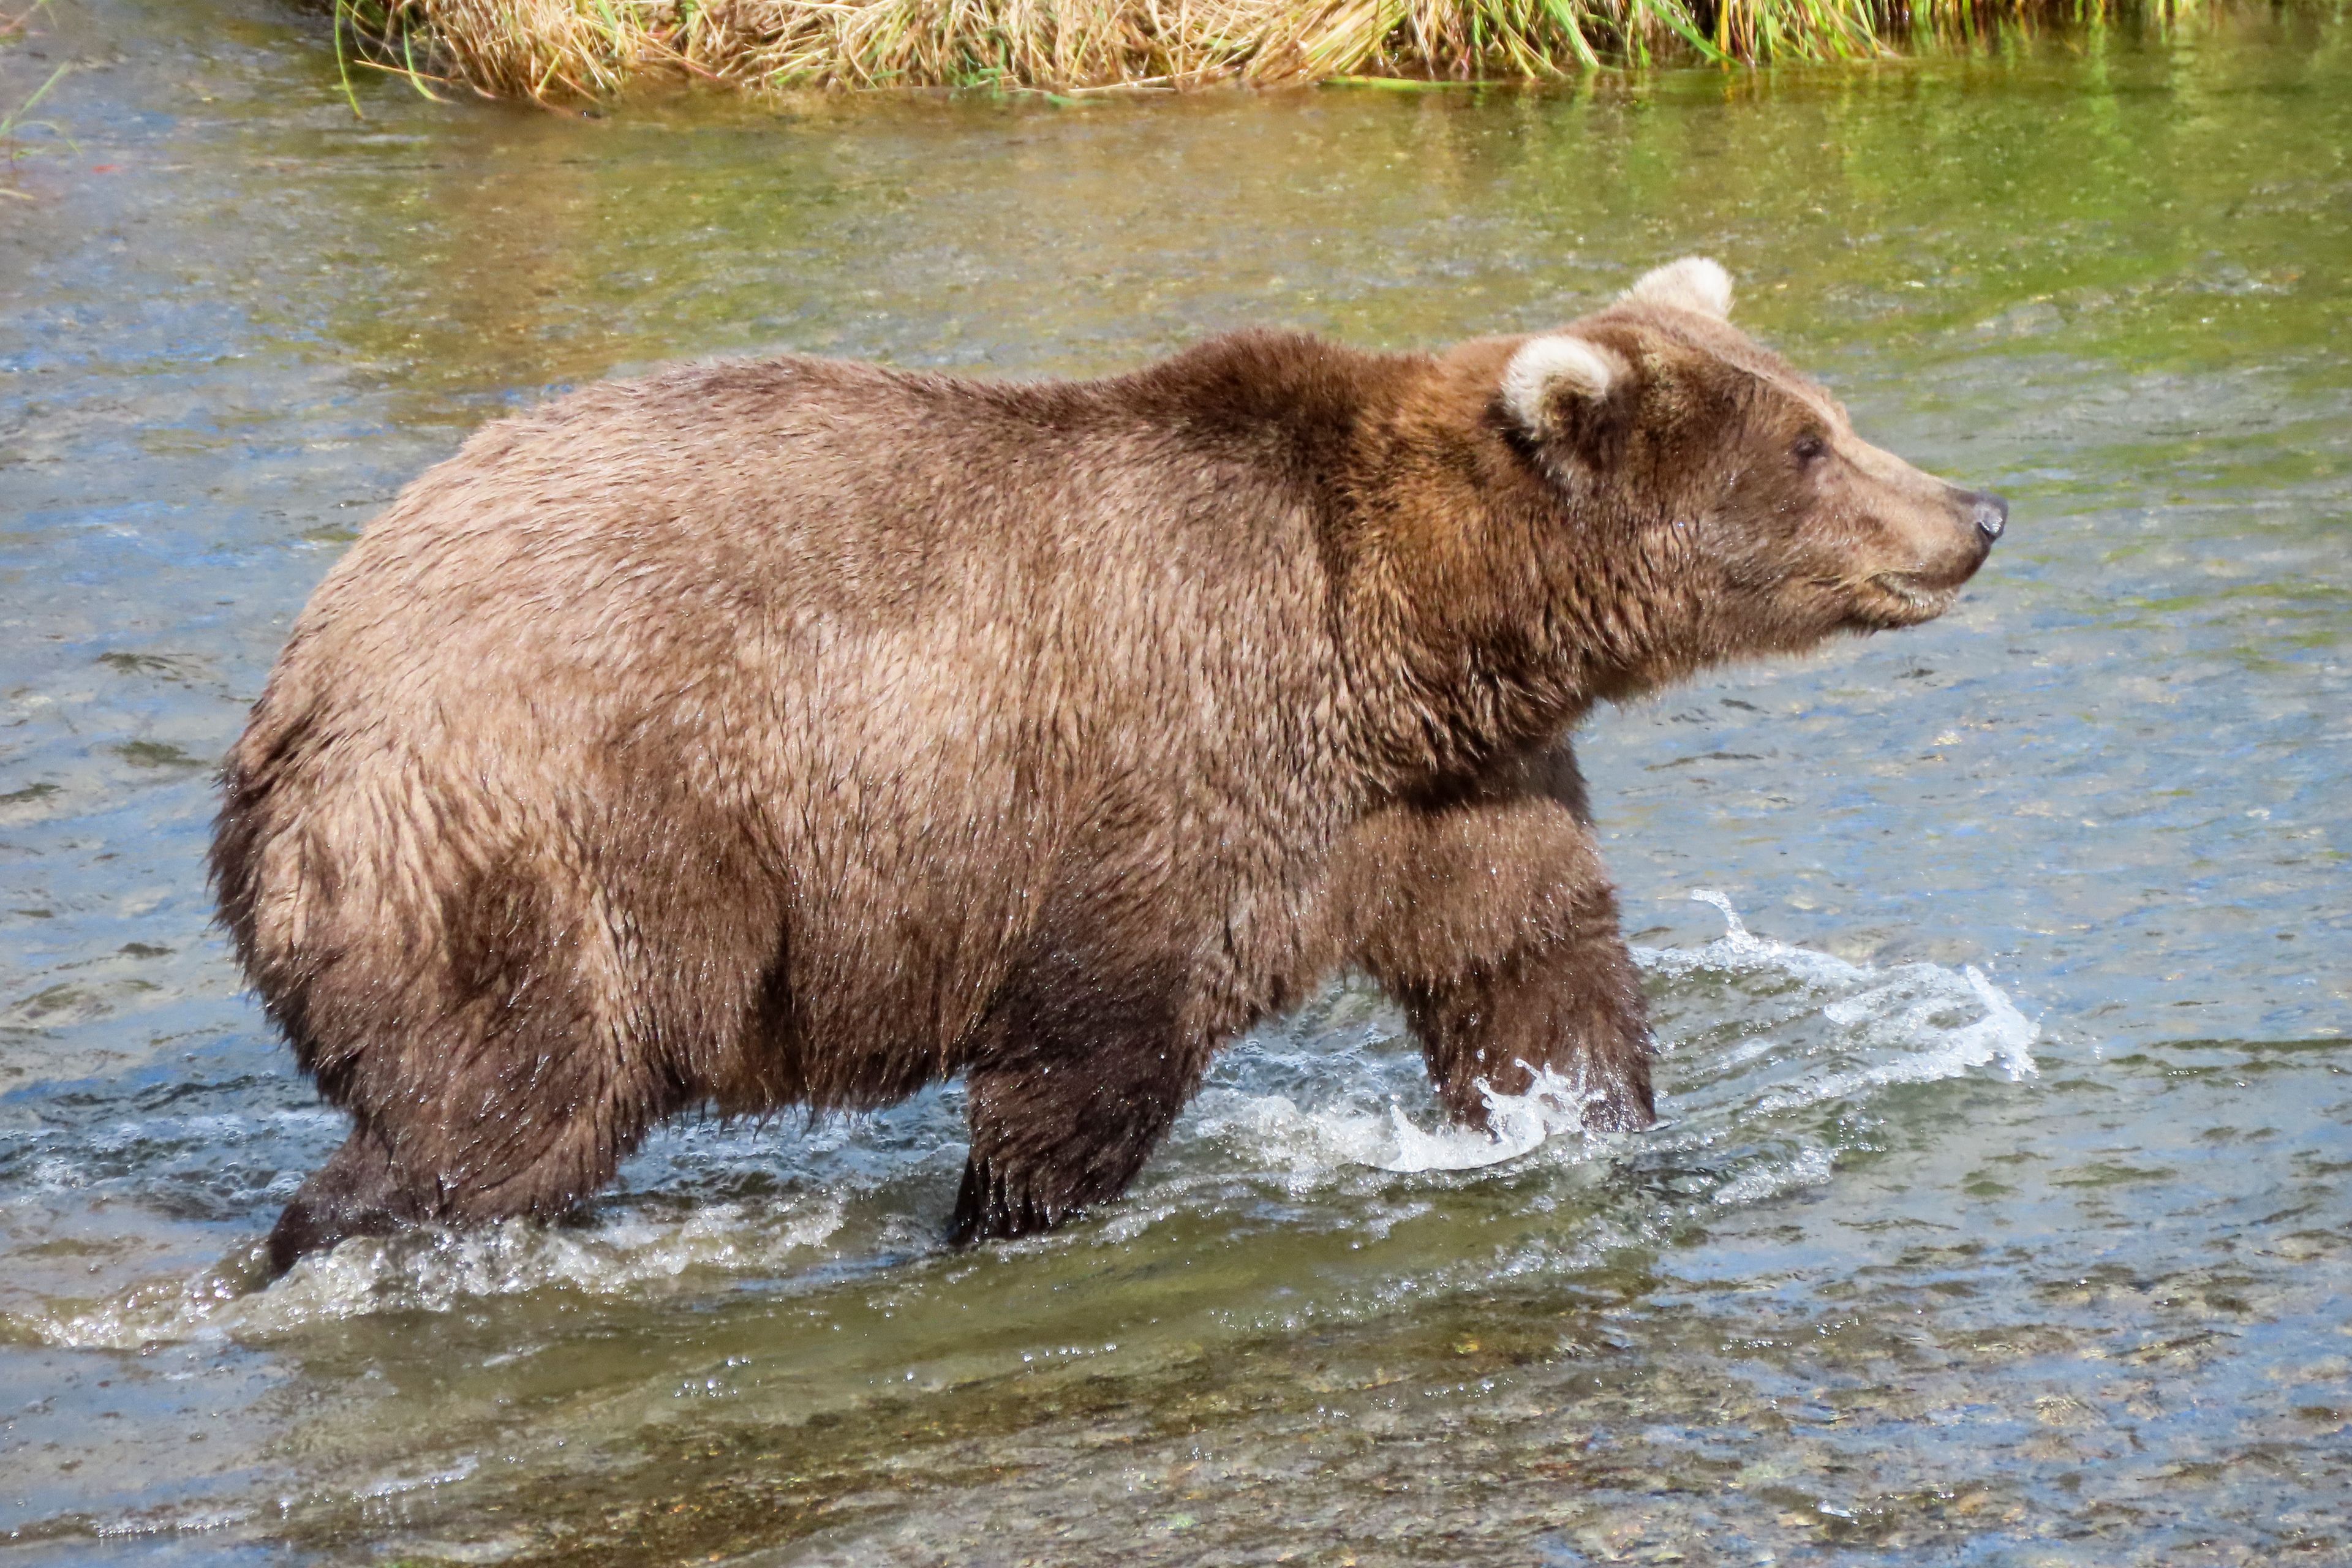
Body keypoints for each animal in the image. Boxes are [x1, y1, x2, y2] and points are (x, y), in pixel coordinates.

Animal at [211, 257, 2003, 1278]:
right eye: (1810, 447)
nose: (1974, 513)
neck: (1415, 640)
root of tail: (295, 686)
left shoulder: (1455, 794)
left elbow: (1535, 970)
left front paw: (1589, 1127)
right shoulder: (1178, 765)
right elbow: (1087, 1051)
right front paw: (999, 1223)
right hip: (541, 836)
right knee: (500, 1106)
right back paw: (339, 1243)